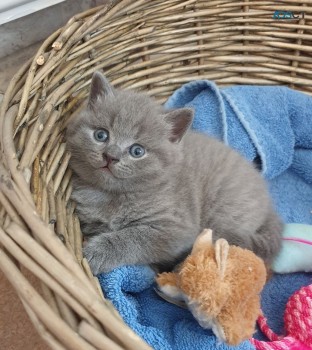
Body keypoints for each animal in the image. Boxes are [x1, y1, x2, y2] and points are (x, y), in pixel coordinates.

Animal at [66, 71, 282, 274]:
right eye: (101, 135)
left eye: (137, 151)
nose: (110, 156)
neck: (112, 196)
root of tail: (269, 203)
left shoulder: (177, 229)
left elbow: (134, 238)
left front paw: (96, 253)